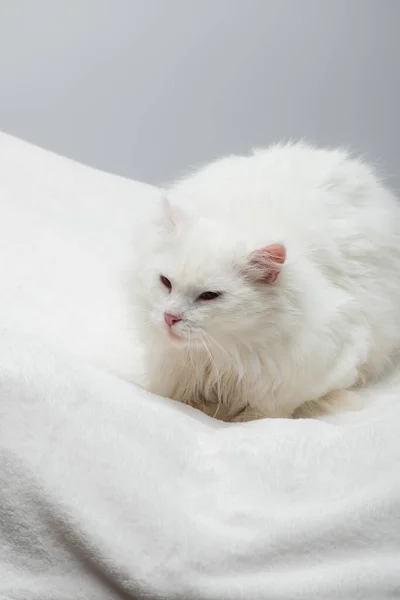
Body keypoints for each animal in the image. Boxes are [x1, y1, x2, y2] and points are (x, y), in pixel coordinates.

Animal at [134, 142, 400, 420]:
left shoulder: (333, 355)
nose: (170, 317)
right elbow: (175, 396)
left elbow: (268, 412)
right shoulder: (174, 370)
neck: (222, 356)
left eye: (209, 296)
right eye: (166, 282)